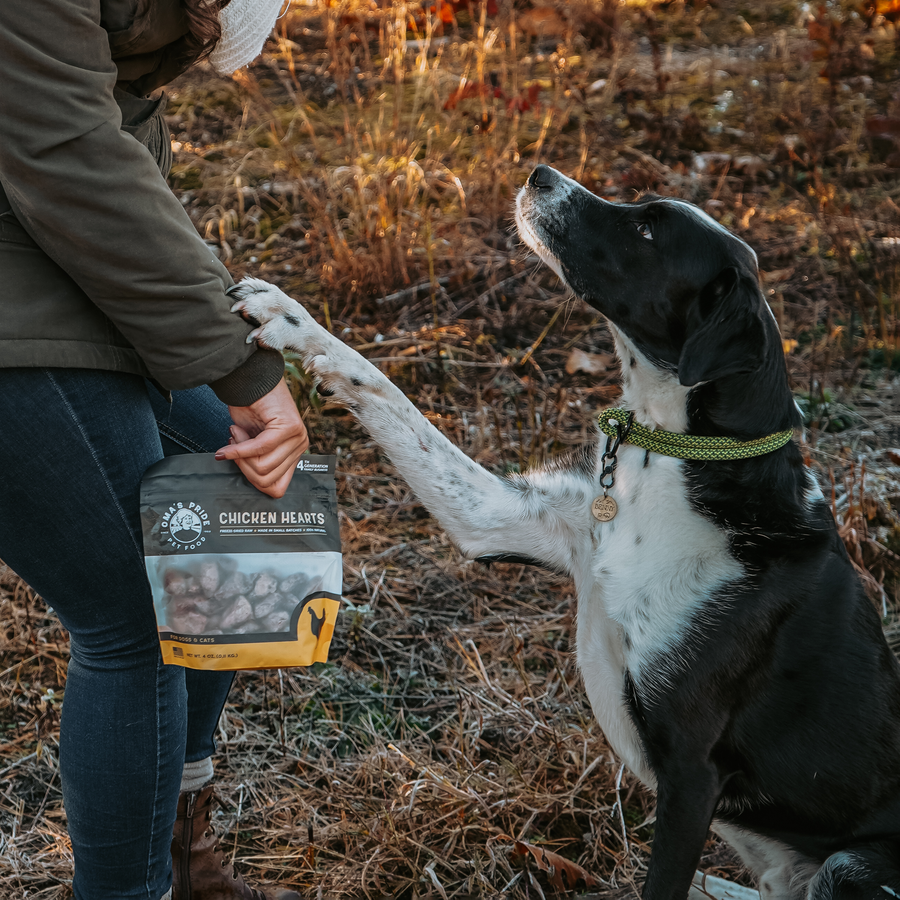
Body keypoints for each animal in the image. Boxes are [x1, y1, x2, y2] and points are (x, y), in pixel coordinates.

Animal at [229, 165, 900, 896]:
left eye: (647, 230)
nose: (540, 173)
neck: (678, 455)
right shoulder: (497, 518)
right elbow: (386, 391)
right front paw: (291, 320)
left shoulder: (691, 773)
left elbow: (663, 878)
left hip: (850, 863)